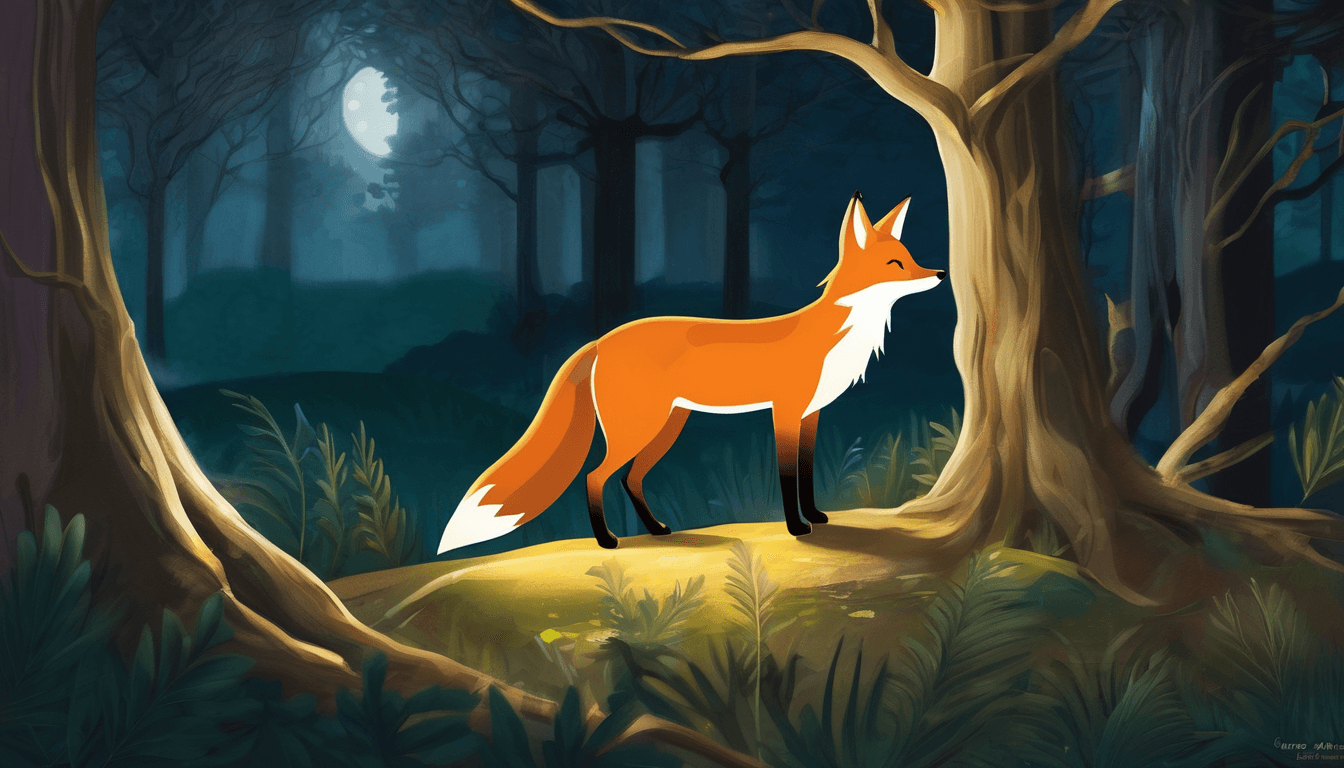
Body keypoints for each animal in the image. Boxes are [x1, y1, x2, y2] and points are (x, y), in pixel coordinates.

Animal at [437, 191, 946, 554]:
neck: (840, 335)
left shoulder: (812, 415)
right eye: (895, 264)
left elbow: (805, 472)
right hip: (640, 428)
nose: (941, 274)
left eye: (911, 257)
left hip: (666, 428)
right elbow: (786, 476)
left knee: (629, 479)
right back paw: (607, 540)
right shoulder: (784, 412)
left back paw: (657, 529)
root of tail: (601, 339)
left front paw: (817, 517)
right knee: (596, 478)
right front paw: (796, 527)